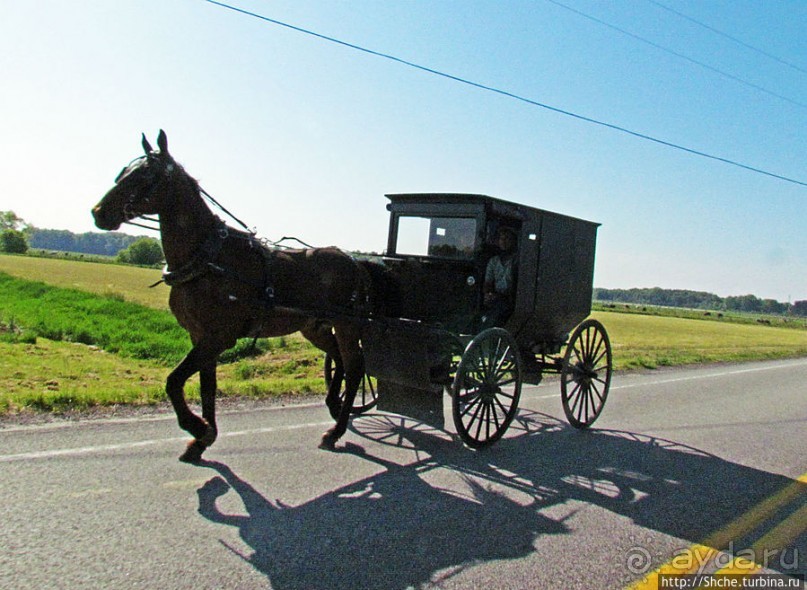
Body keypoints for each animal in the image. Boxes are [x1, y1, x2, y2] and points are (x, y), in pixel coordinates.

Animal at [94, 132, 370, 464]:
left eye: (145, 174)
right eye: (124, 171)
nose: (98, 212)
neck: (208, 258)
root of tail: (353, 260)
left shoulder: (218, 337)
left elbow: (174, 382)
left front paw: (197, 427)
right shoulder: (200, 336)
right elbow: (206, 387)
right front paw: (202, 439)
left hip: (346, 325)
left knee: (355, 369)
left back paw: (336, 431)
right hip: (314, 327)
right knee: (339, 359)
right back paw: (333, 405)